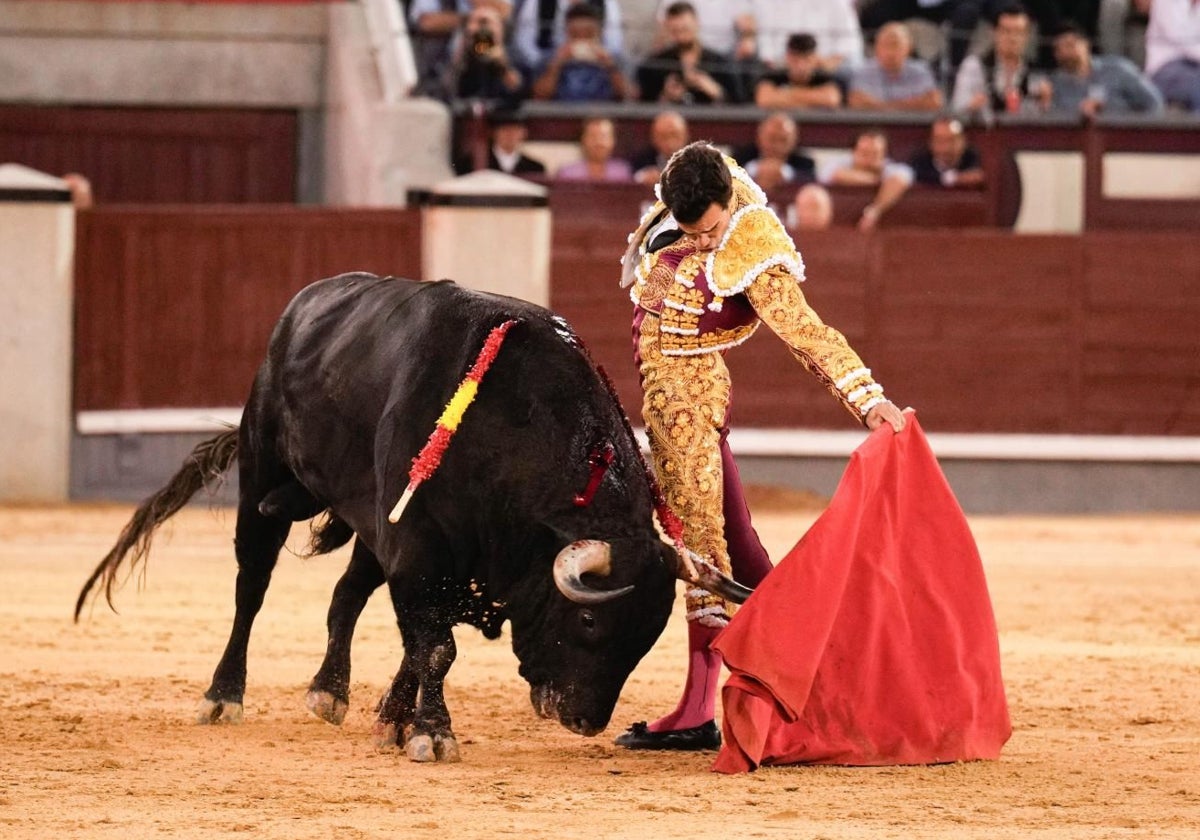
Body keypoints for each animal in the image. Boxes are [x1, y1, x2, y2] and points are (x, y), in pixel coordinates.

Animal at [75, 273, 744, 763]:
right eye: (586, 621)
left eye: (648, 633)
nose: (585, 720)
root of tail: (300, 308)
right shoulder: (418, 550)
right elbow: (435, 647)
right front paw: (432, 733)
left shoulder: (428, 558)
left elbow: (418, 643)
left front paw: (394, 721)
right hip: (261, 479)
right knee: (251, 588)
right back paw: (222, 697)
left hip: (371, 530)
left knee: (345, 595)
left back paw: (328, 693)